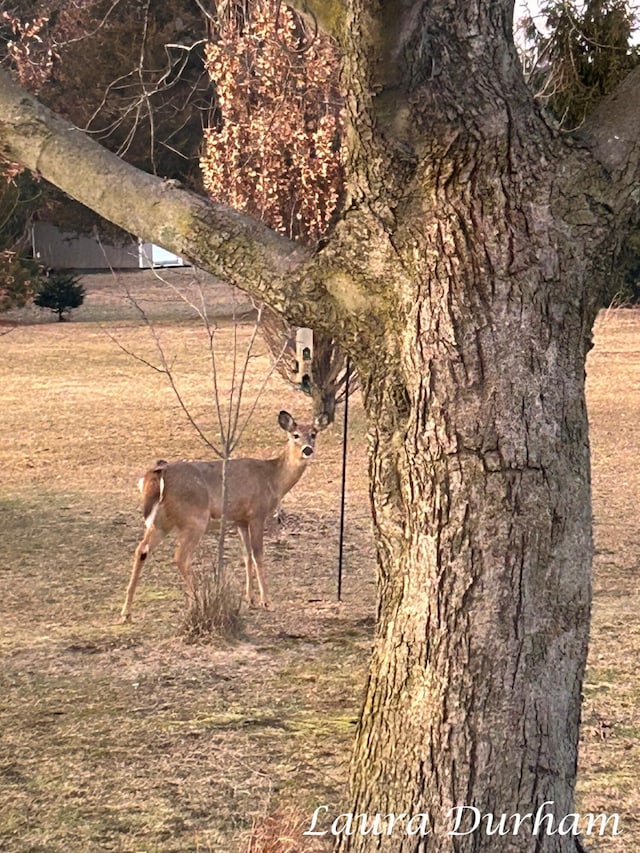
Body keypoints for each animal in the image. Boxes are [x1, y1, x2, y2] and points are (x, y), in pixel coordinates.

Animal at [121, 410, 330, 624]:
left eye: (313, 434)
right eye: (295, 435)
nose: (307, 450)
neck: (273, 479)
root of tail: (158, 473)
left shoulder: (240, 520)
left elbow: (246, 555)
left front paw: (250, 598)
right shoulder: (257, 514)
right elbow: (258, 555)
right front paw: (266, 601)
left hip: (162, 521)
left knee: (141, 550)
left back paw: (126, 612)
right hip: (195, 518)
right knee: (180, 557)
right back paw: (197, 600)